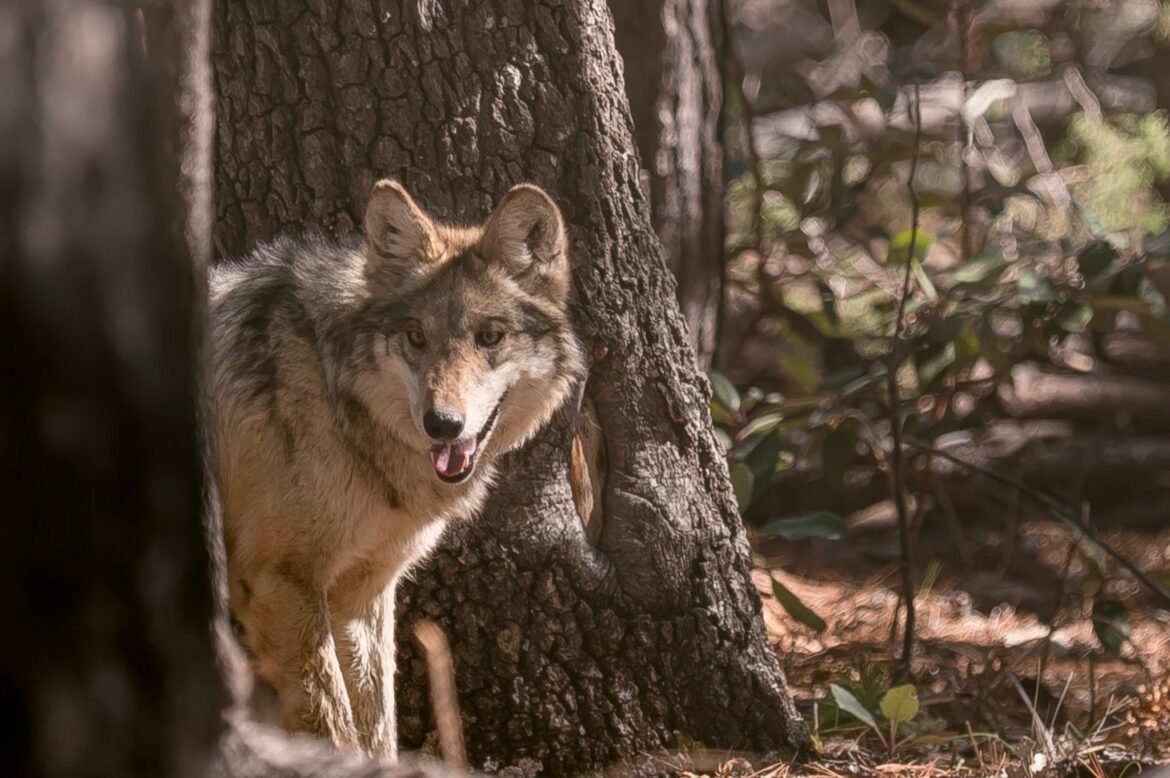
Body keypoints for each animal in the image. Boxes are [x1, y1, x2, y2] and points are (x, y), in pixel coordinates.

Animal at [207, 180, 585, 759]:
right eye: (416, 337)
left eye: (490, 337)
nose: (442, 424)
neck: (335, 393)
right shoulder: (280, 581)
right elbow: (333, 723)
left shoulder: (363, 595)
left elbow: (376, 724)